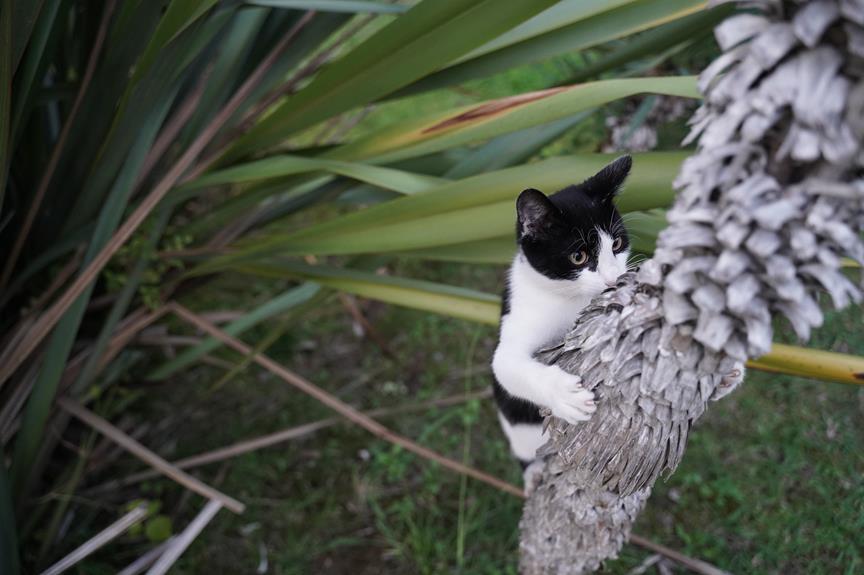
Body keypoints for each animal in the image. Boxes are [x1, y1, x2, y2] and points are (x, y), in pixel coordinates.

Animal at [492, 156, 636, 476]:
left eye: (617, 244)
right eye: (579, 257)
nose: (613, 280)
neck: (570, 297)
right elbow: (507, 366)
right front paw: (564, 395)